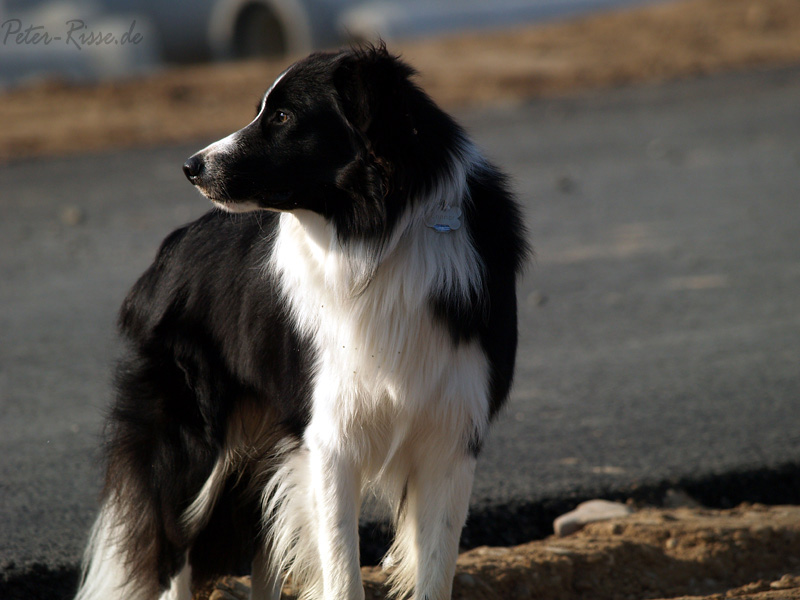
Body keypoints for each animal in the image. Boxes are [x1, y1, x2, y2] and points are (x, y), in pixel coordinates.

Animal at [73, 44, 524, 596]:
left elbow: (434, 573)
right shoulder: (329, 438)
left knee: (262, 550)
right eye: (262, 111)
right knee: (172, 554)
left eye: (284, 117)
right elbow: (342, 572)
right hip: (191, 444)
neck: (381, 234)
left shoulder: (452, 435)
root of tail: (168, 252)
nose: (190, 167)